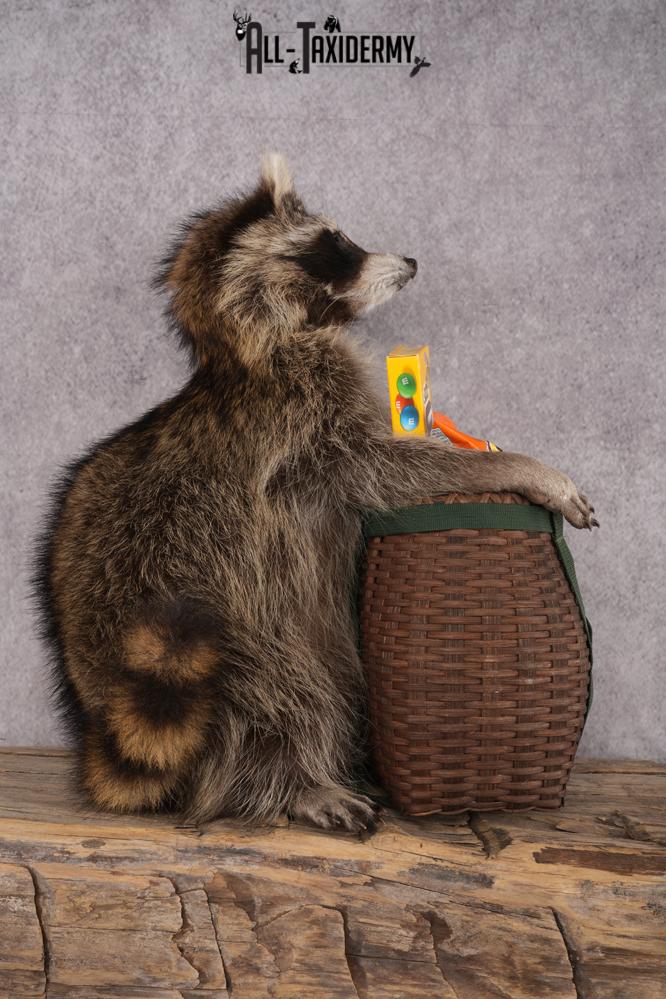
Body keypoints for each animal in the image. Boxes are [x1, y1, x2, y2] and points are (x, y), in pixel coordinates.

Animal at [33, 153, 597, 832]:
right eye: (336, 246)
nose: (410, 261)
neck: (255, 347)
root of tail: (97, 713)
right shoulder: (302, 431)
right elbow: (395, 470)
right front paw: (520, 467)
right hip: (218, 621)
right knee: (278, 689)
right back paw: (291, 777)